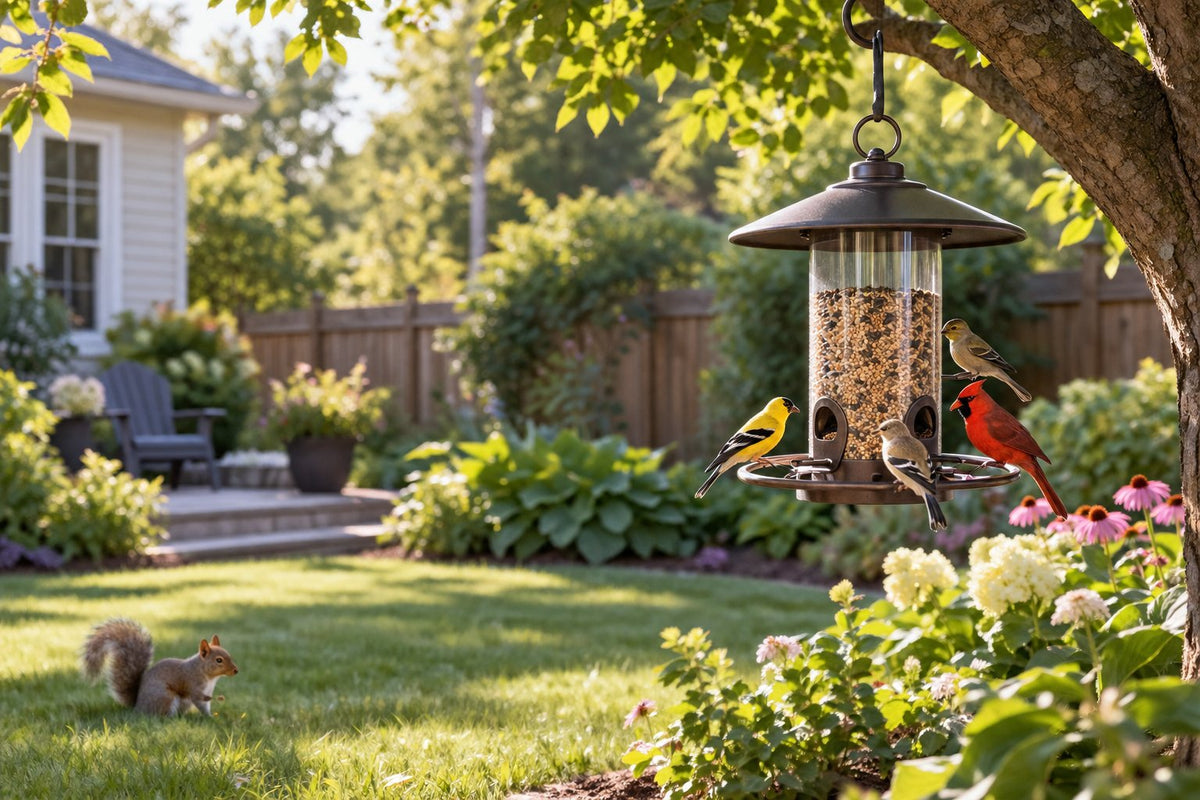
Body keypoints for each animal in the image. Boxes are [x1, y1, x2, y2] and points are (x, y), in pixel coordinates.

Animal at [81, 618, 239, 716]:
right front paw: (209, 717)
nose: (236, 670)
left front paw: (213, 714)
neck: (207, 675)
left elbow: (206, 705)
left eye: (229, 655)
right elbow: (199, 701)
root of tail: (138, 707)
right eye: (219, 660)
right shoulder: (193, 685)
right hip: (165, 698)